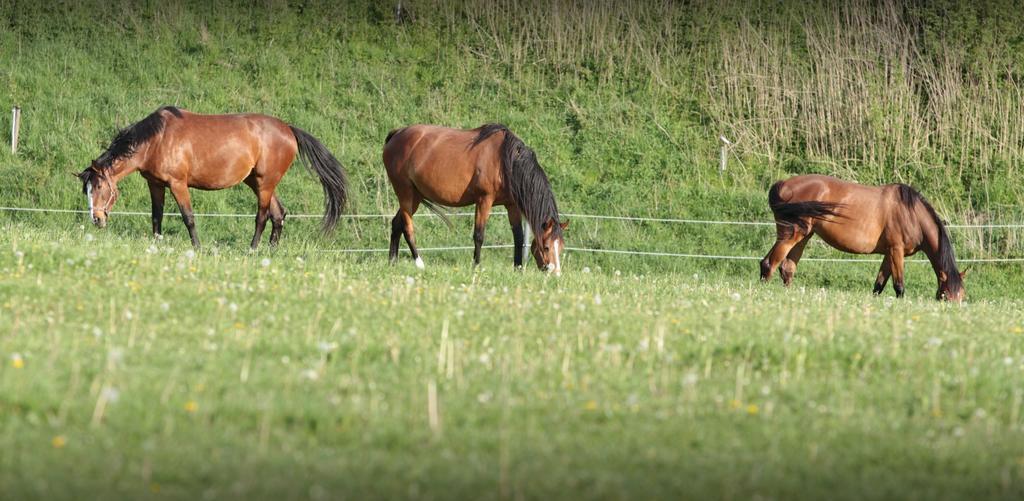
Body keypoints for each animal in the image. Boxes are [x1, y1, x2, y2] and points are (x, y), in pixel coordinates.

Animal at [75, 106, 348, 247]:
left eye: (99, 187)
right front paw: (157, 243)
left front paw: (197, 247)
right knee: (279, 214)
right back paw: (271, 250)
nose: (96, 219)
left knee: (262, 216)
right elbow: (156, 216)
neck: (157, 139)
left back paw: (253, 249)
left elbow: (188, 217)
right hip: (257, 182)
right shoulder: (155, 184)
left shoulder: (178, 184)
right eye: (87, 189)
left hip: (265, 183)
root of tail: (288, 129)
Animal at [380, 124, 569, 272]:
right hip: (405, 192)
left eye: (561, 247)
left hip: (415, 196)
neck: (505, 161)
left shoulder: (512, 205)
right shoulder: (484, 200)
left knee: (396, 224)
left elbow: (519, 237)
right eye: (546, 247)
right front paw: (476, 266)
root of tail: (396, 134)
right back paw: (419, 263)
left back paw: (392, 263)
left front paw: (518, 268)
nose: (556, 273)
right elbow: (479, 235)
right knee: (407, 227)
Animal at [761, 174, 966, 303]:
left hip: (803, 236)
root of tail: (784, 184)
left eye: (962, 297)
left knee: (787, 268)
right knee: (769, 263)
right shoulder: (896, 251)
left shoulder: (889, 254)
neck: (911, 214)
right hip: (792, 234)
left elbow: (879, 285)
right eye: (945, 296)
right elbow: (899, 286)